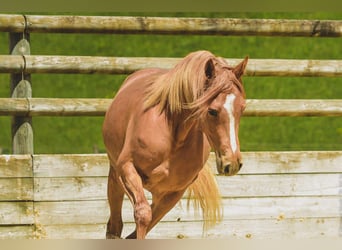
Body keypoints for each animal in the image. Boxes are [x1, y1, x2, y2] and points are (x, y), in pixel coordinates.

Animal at [103, 50, 247, 238]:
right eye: (212, 111)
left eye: (242, 108)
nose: (233, 163)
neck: (174, 135)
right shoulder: (127, 169)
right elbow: (143, 214)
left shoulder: (174, 192)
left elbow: (147, 222)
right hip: (115, 177)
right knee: (114, 226)